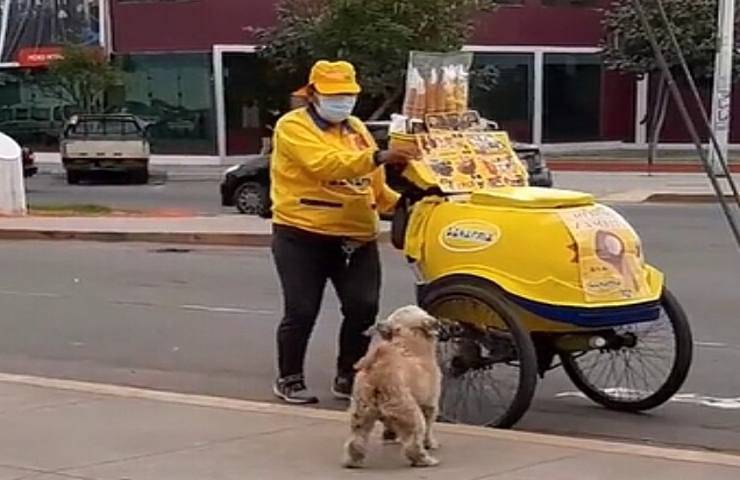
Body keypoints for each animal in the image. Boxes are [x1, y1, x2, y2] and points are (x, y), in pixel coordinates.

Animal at [342, 306, 440, 466]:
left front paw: (389, 435)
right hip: (406, 407)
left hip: (361, 407)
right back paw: (424, 459)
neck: (408, 340)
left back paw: (354, 459)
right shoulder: (430, 401)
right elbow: (429, 421)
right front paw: (430, 443)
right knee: (414, 437)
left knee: (357, 435)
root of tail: (377, 370)